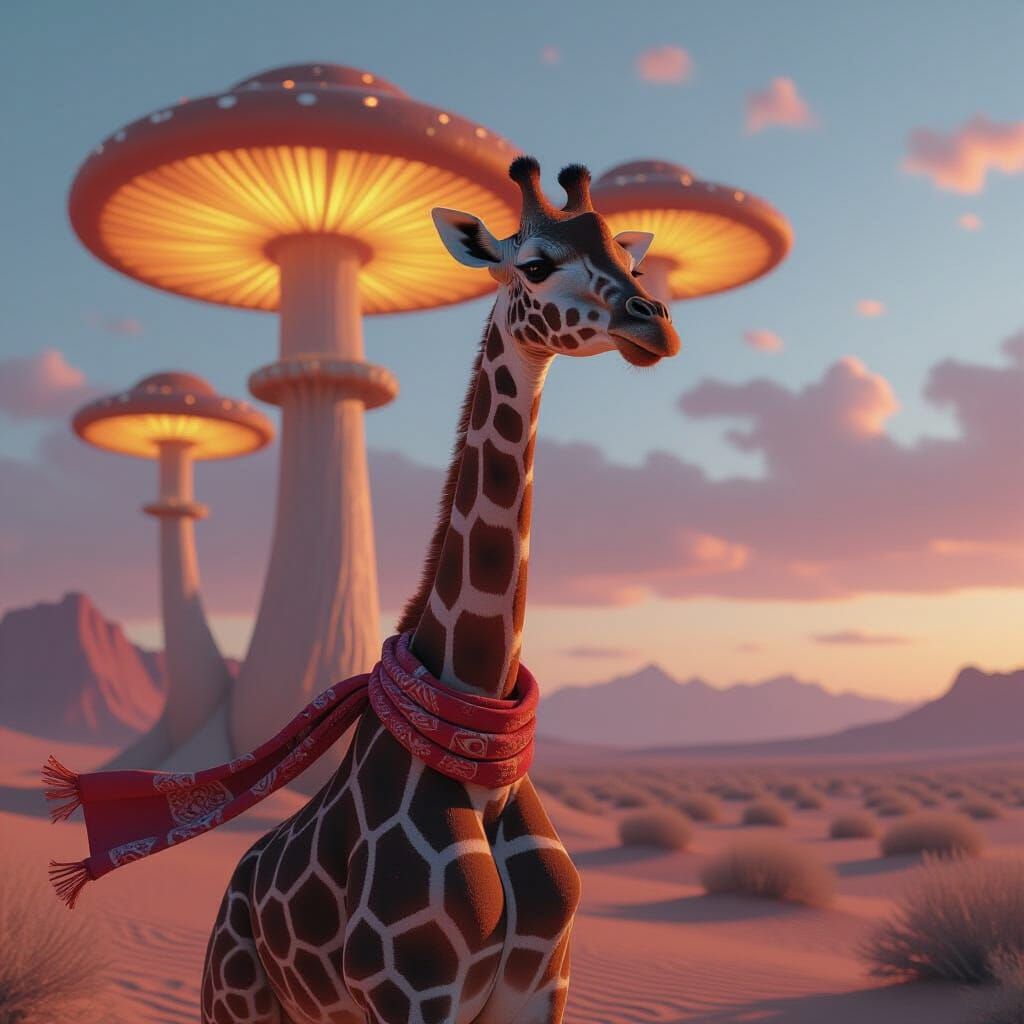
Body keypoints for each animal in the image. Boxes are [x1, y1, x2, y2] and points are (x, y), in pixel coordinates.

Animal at [200, 156, 681, 1024]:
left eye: (631, 262)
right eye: (535, 264)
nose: (653, 322)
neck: (486, 779)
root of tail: (229, 891)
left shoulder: (543, 983)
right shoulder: (411, 987)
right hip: (236, 1001)